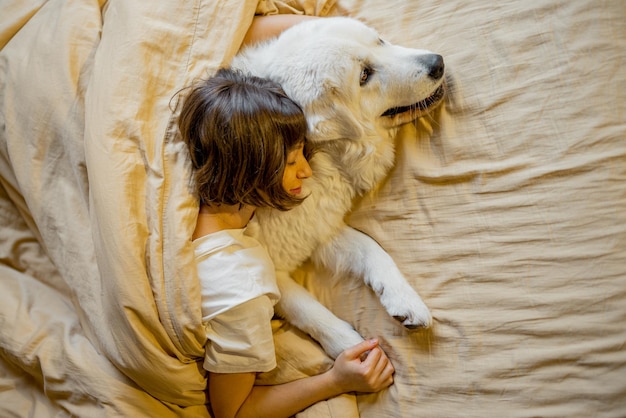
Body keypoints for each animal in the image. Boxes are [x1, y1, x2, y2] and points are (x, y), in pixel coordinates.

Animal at [230, 17, 444, 360]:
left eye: (379, 41)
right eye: (364, 76)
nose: (437, 63)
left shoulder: (318, 226)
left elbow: (371, 248)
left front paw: (403, 298)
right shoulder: (262, 267)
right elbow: (307, 310)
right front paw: (351, 349)